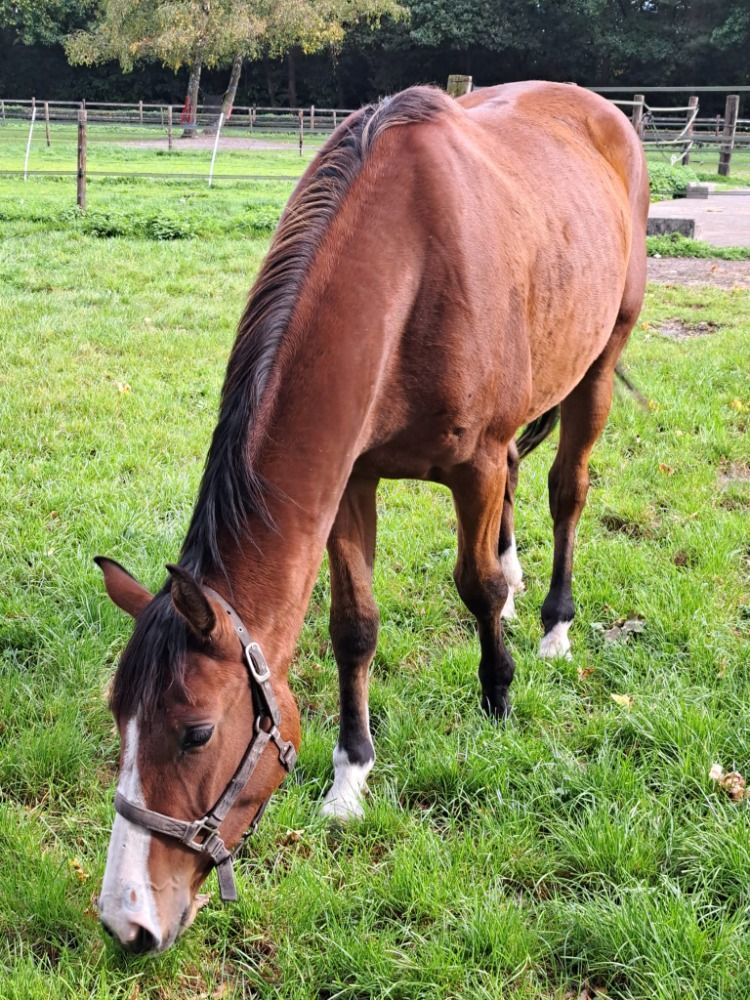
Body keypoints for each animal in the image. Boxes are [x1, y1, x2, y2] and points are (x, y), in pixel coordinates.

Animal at [95, 81, 648, 953]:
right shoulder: (352, 479)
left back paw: (554, 624)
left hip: (598, 361)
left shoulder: (473, 464)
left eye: (196, 732)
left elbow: (474, 585)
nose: (127, 921)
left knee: (567, 490)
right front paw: (351, 774)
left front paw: (498, 696)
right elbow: (354, 625)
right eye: (119, 717)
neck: (410, 266)